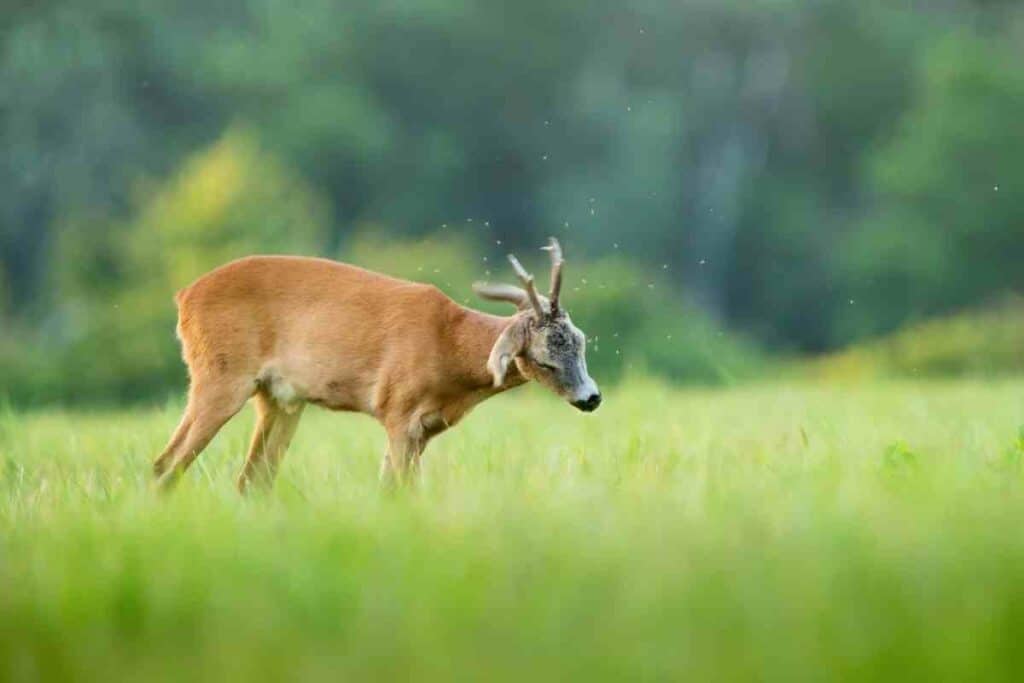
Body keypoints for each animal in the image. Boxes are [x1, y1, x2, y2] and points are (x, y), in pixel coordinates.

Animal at [151, 239, 598, 491]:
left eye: (580, 342)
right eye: (544, 359)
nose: (591, 398)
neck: (450, 348)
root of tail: (183, 298)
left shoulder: (424, 428)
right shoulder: (398, 409)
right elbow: (395, 489)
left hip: (280, 400)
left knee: (252, 480)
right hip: (220, 376)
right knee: (166, 464)